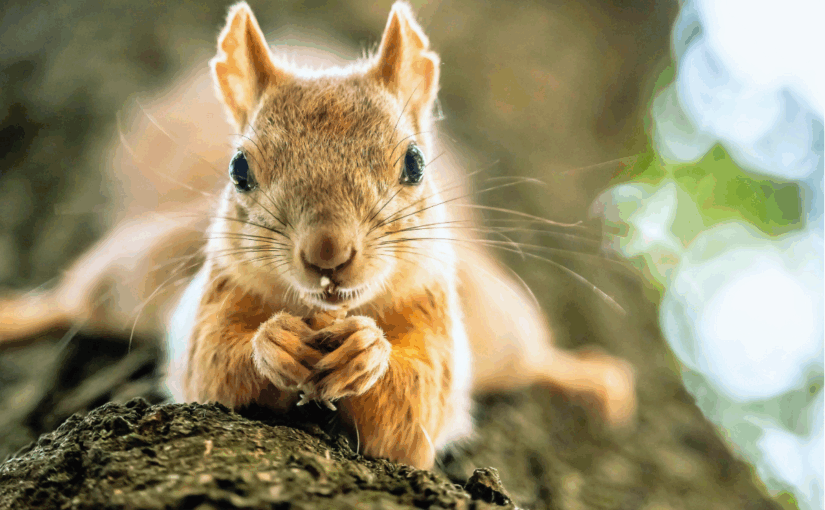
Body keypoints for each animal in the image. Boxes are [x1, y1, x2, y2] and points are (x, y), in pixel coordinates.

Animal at [0, 1, 636, 470]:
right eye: (239, 169)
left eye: (415, 163)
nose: (328, 251)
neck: (325, 313)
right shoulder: (213, 298)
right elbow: (211, 366)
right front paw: (272, 343)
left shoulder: (436, 316)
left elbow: (414, 410)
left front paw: (368, 352)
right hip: (138, 269)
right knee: (77, 298)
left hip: (498, 320)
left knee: (531, 355)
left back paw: (587, 378)